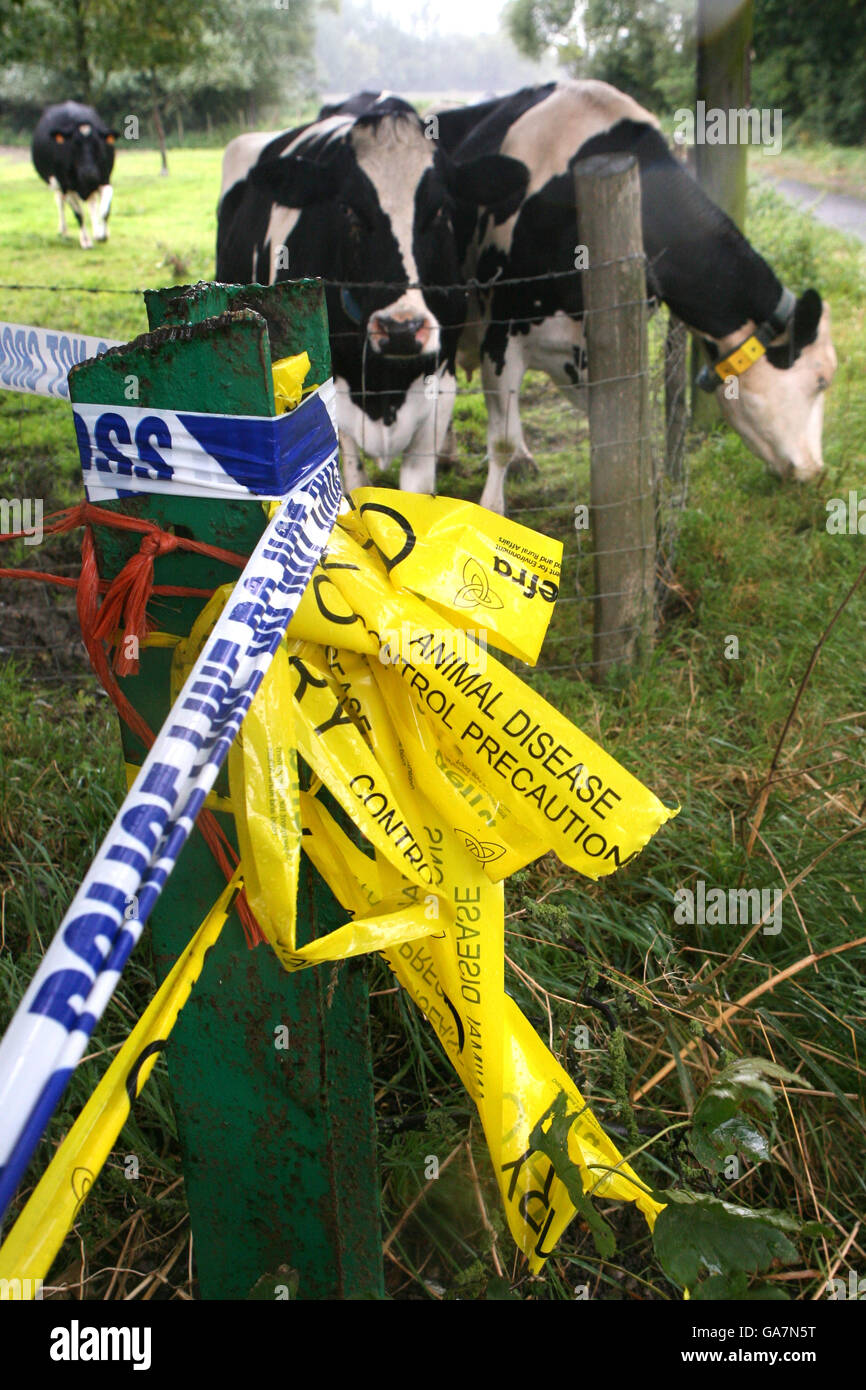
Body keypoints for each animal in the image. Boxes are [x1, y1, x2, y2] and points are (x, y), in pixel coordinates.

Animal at [31, 100, 116, 250]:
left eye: (97, 144)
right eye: (74, 144)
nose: (89, 172)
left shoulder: (104, 179)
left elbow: (105, 210)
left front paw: (102, 234)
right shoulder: (66, 186)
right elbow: (79, 214)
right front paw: (86, 241)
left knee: (92, 202)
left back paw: (96, 231)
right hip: (57, 184)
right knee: (60, 203)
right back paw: (64, 232)